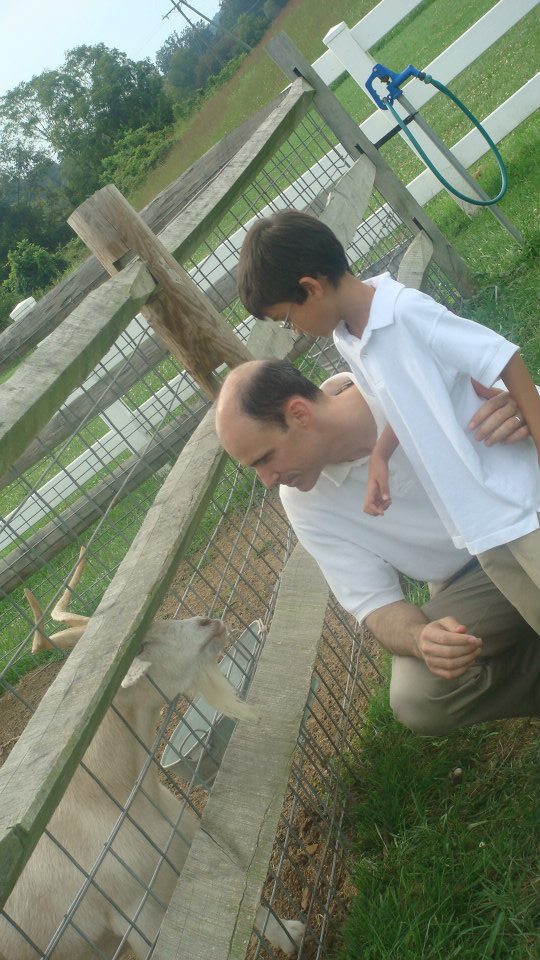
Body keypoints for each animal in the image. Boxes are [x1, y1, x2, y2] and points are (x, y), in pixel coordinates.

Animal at [0, 556, 304, 960]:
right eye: (141, 645)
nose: (209, 622)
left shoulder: (186, 843)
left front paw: (291, 933)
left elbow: (244, 898)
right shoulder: (136, 915)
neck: (109, 799)